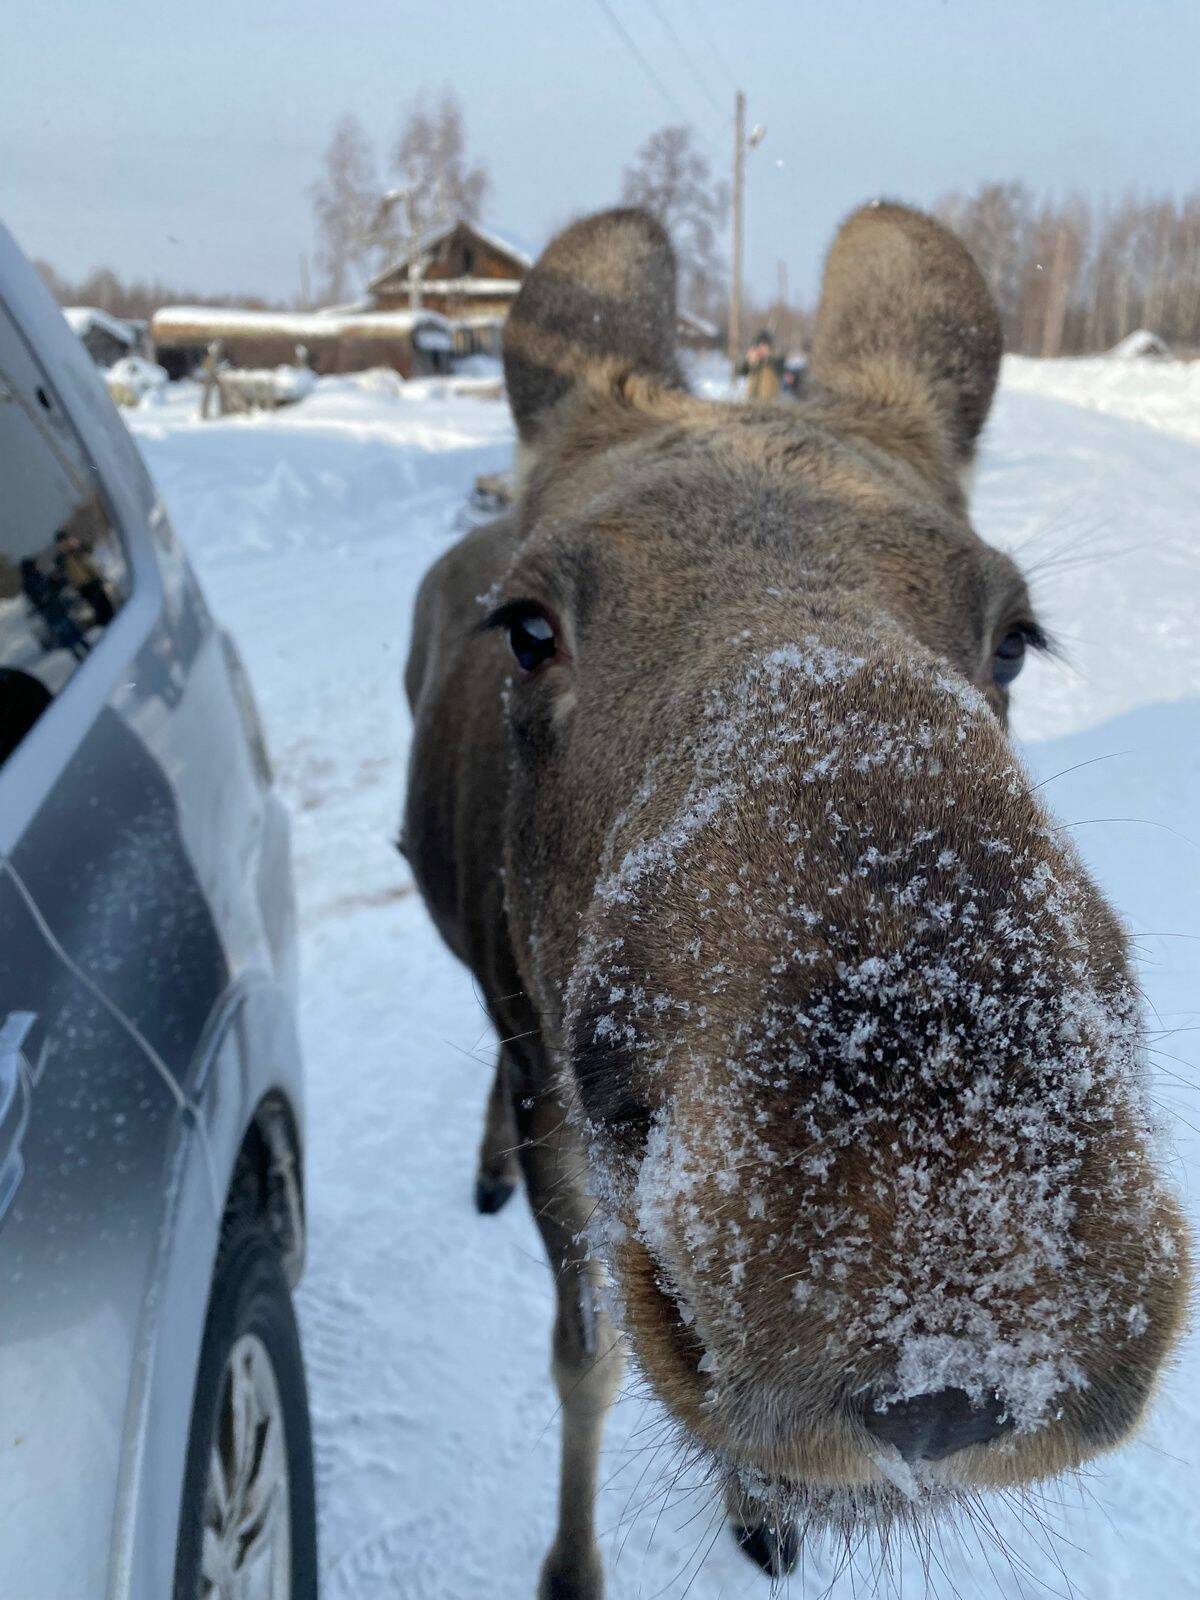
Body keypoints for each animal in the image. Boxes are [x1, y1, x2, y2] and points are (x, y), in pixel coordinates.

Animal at [404, 206, 1196, 1593]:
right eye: (529, 627)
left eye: (1013, 633)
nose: (947, 1249)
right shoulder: (556, 1096)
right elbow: (585, 1358)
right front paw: (570, 1566)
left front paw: (760, 1510)